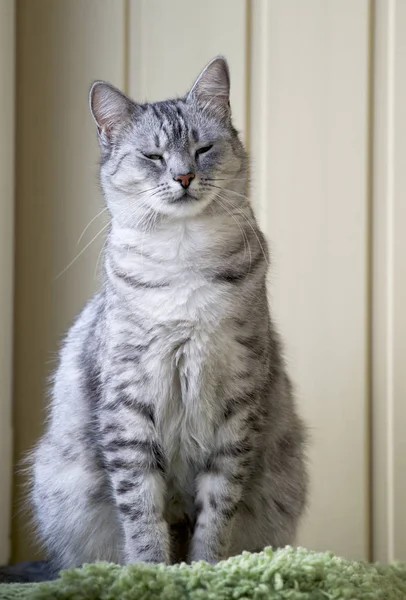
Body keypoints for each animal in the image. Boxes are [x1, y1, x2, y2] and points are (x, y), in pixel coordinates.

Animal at [30, 55, 308, 568]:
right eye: (153, 157)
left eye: (202, 149)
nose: (183, 177)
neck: (183, 255)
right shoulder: (127, 404)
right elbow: (141, 508)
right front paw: (153, 572)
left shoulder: (237, 402)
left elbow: (217, 510)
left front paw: (203, 571)